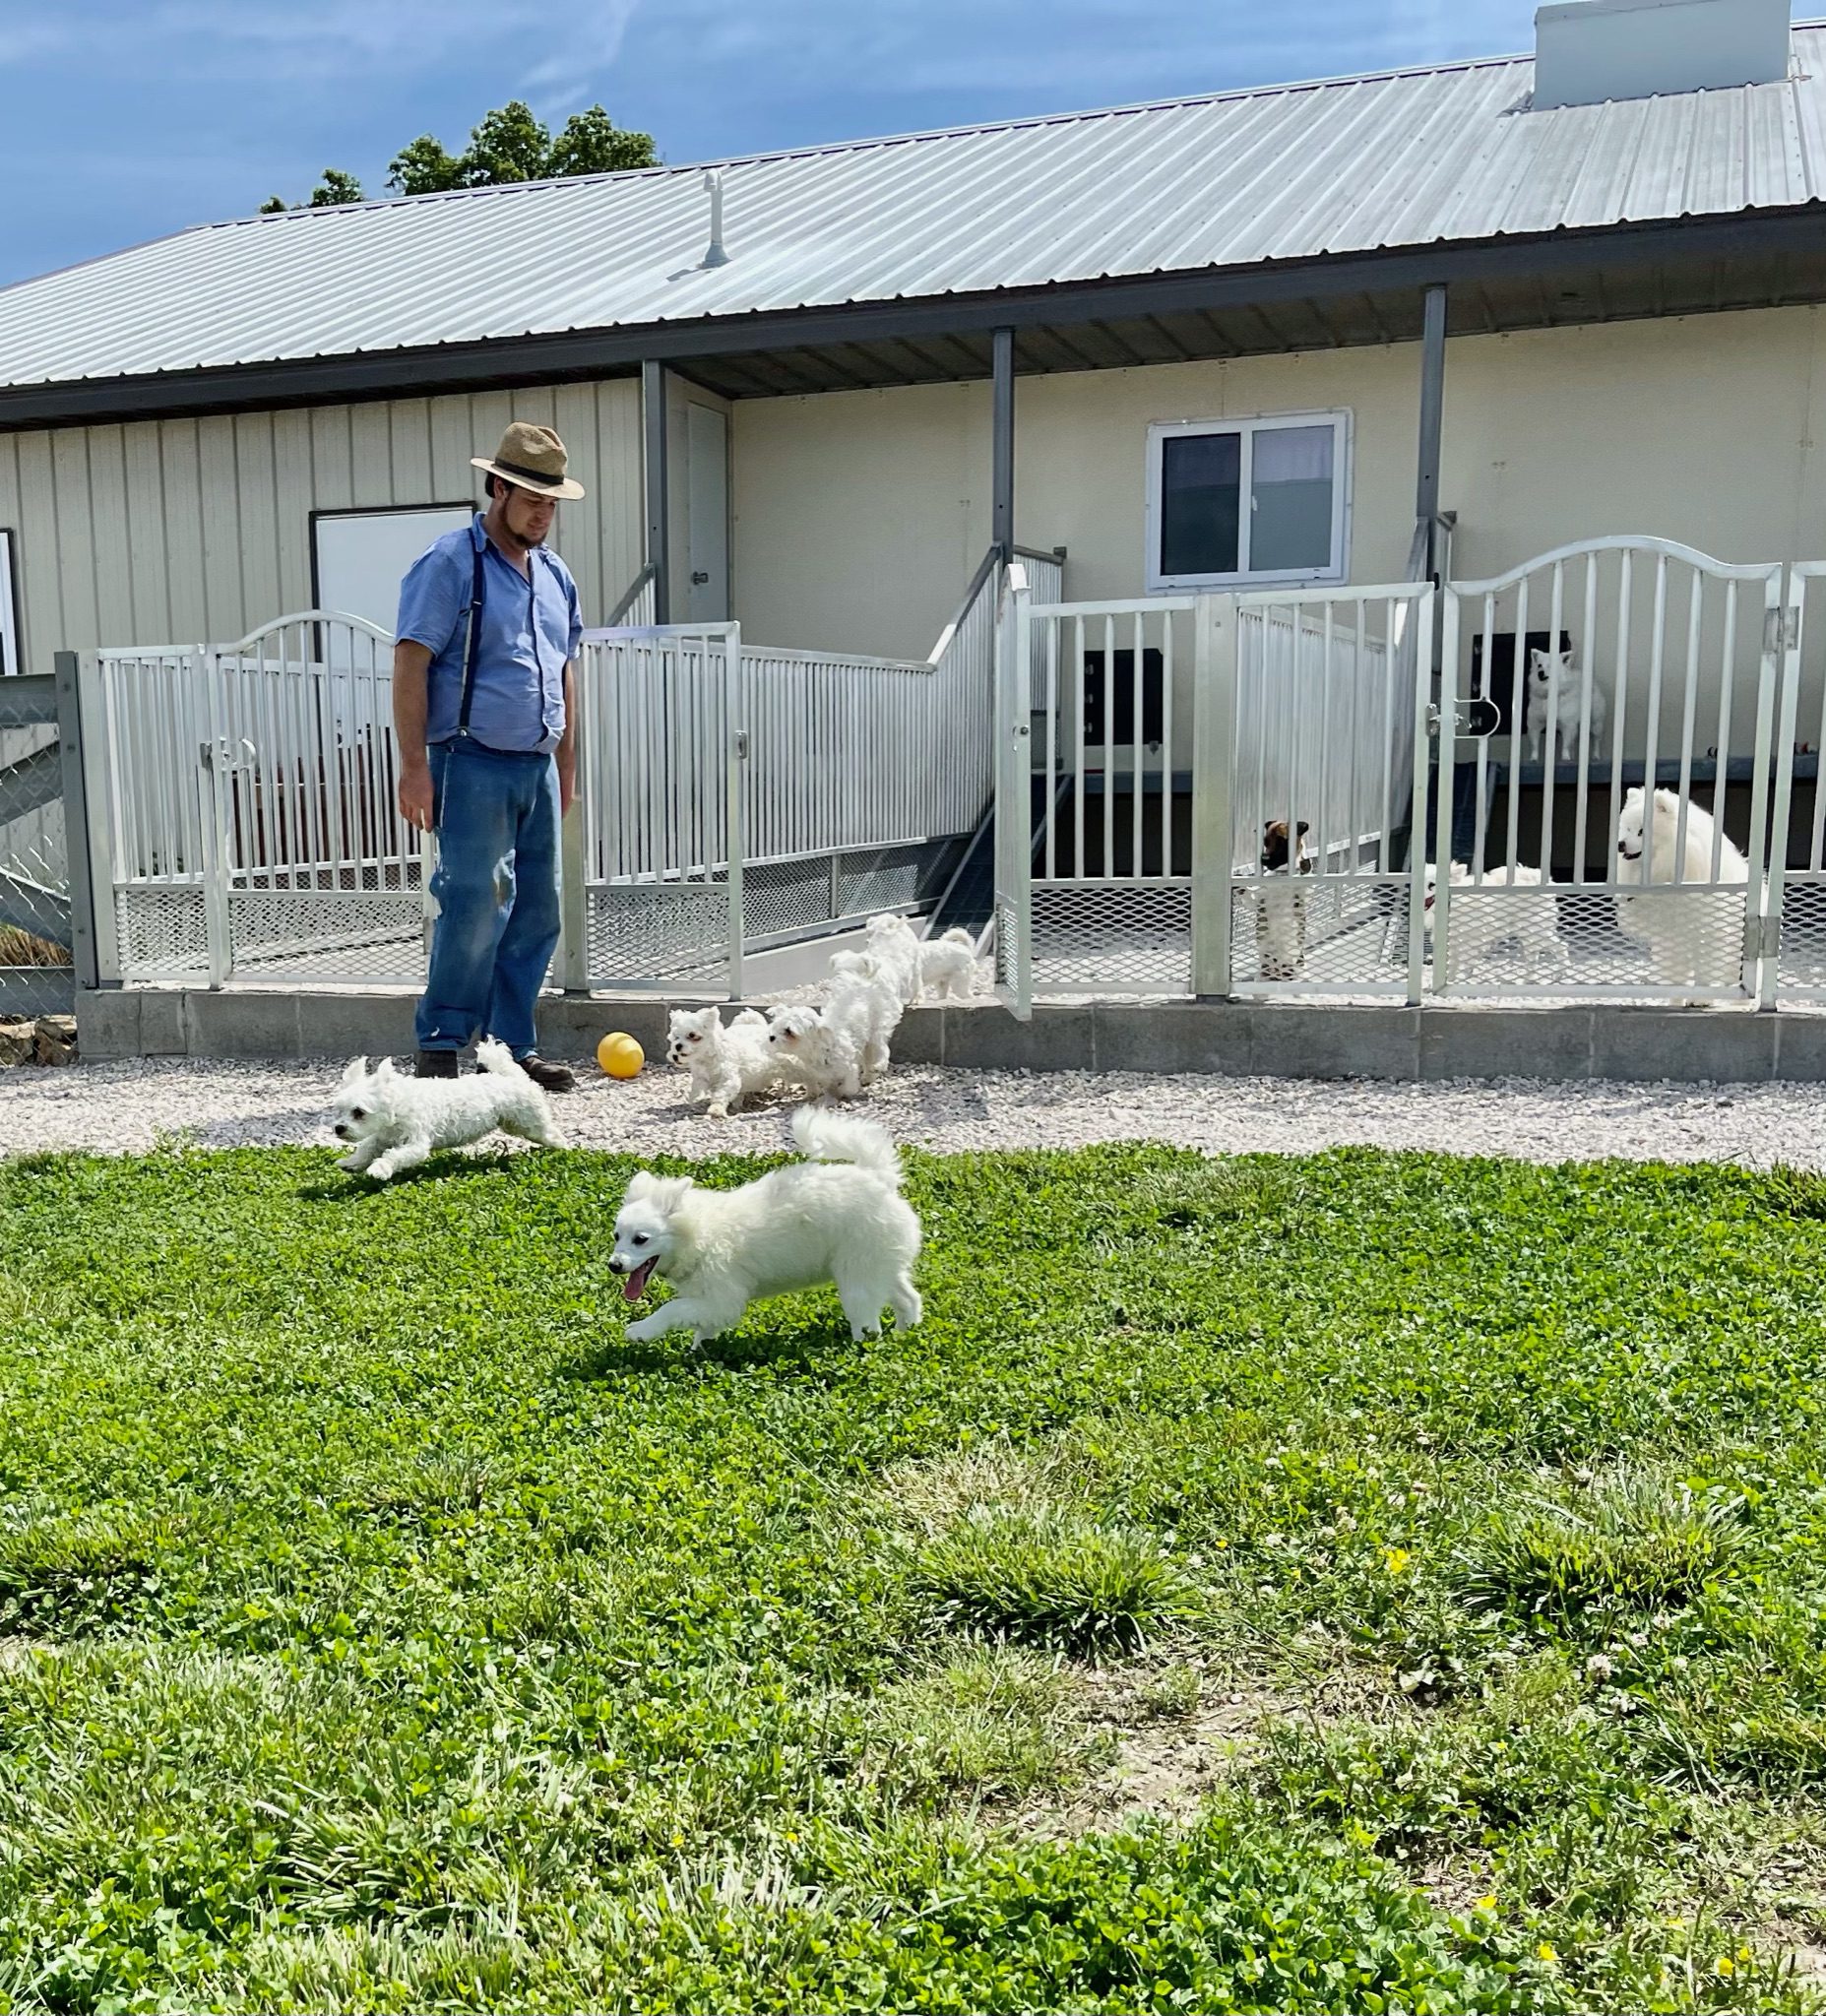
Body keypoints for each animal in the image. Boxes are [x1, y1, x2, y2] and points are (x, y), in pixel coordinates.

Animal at [324, 1040, 560, 1177]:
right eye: (338, 1110)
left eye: (359, 1112)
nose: (338, 1128)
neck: (397, 1106)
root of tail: (512, 1077)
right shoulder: (382, 1136)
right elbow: (366, 1147)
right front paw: (352, 1162)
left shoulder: (416, 1143)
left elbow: (395, 1155)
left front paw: (379, 1169)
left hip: (529, 1124)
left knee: (552, 1135)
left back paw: (563, 1148)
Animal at [612, 1112, 926, 1347]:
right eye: (616, 1236)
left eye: (641, 1240)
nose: (613, 1266)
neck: (698, 1232)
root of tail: (880, 1180)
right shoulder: (711, 1302)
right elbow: (702, 1329)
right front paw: (698, 1352)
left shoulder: (721, 1298)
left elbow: (672, 1308)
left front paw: (641, 1330)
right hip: (881, 1264)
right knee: (909, 1298)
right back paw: (906, 1333)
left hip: (857, 1276)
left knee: (868, 1323)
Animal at [1611, 778, 1741, 991]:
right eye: (1627, 829)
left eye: (1641, 831)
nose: (1620, 844)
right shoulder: (1669, 934)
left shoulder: (1706, 929)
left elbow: (1706, 964)